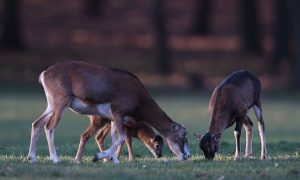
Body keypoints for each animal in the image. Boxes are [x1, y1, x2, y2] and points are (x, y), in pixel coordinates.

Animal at [27, 61, 189, 164]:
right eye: (182, 137)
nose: (187, 156)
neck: (138, 96)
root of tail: (44, 74)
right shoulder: (117, 113)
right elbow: (122, 137)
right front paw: (98, 157)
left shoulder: (113, 118)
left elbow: (115, 137)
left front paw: (114, 160)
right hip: (61, 104)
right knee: (49, 127)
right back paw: (55, 159)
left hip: (51, 106)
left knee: (37, 124)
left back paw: (32, 158)